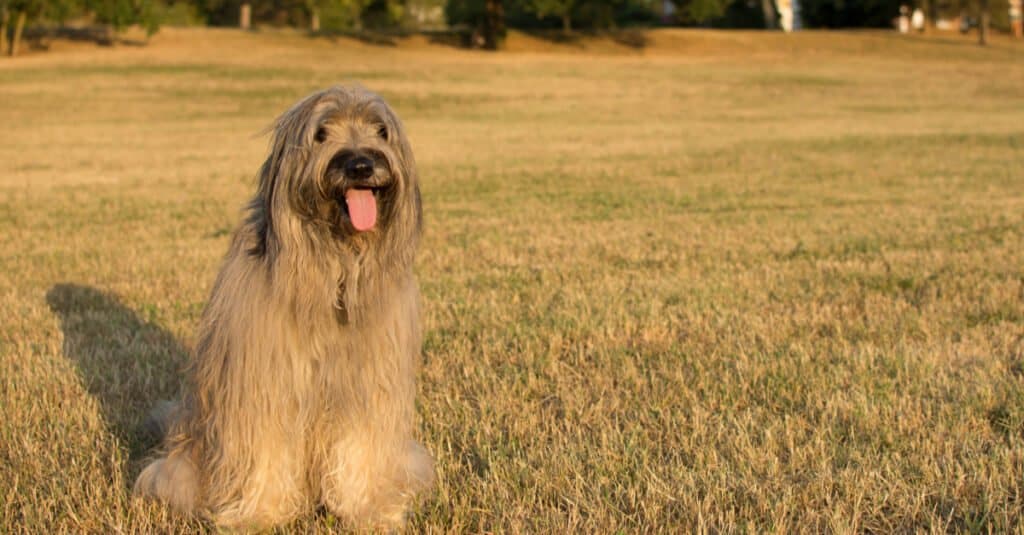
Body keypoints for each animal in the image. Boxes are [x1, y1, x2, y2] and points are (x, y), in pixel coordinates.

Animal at [134, 85, 434, 524]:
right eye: (321, 133)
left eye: (381, 130)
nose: (361, 165)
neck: (334, 266)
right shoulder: (264, 379)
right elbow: (266, 446)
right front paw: (260, 513)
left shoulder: (367, 381)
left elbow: (360, 444)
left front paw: (367, 507)